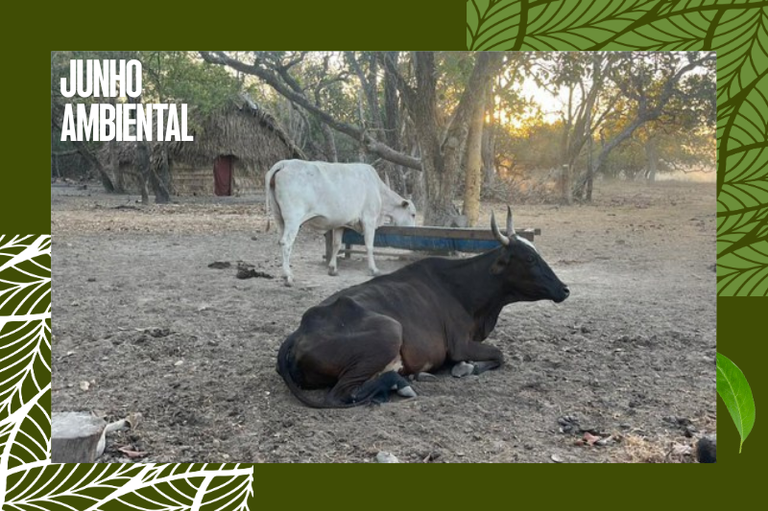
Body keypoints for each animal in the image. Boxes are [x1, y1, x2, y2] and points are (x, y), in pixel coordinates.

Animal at [265, 159, 416, 286]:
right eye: (413, 214)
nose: (413, 229)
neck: (379, 190)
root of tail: (284, 164)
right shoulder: (369, 219)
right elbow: (369, 245)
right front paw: (373, 269)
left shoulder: (340, 224)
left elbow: (337, 245)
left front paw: (333, 269)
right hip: (293, 219)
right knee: (286, 243)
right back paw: (288, 276)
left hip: (279, 218)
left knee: (281, 241)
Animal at [276, 207, 570, 408]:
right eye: (530, 258)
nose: (564, 289)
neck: (466, 292)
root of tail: (300, 330)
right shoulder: (459, 345)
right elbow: (499, 354)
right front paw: (467, 368)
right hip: (390, 330)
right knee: (342, 395)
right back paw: (402, 384)